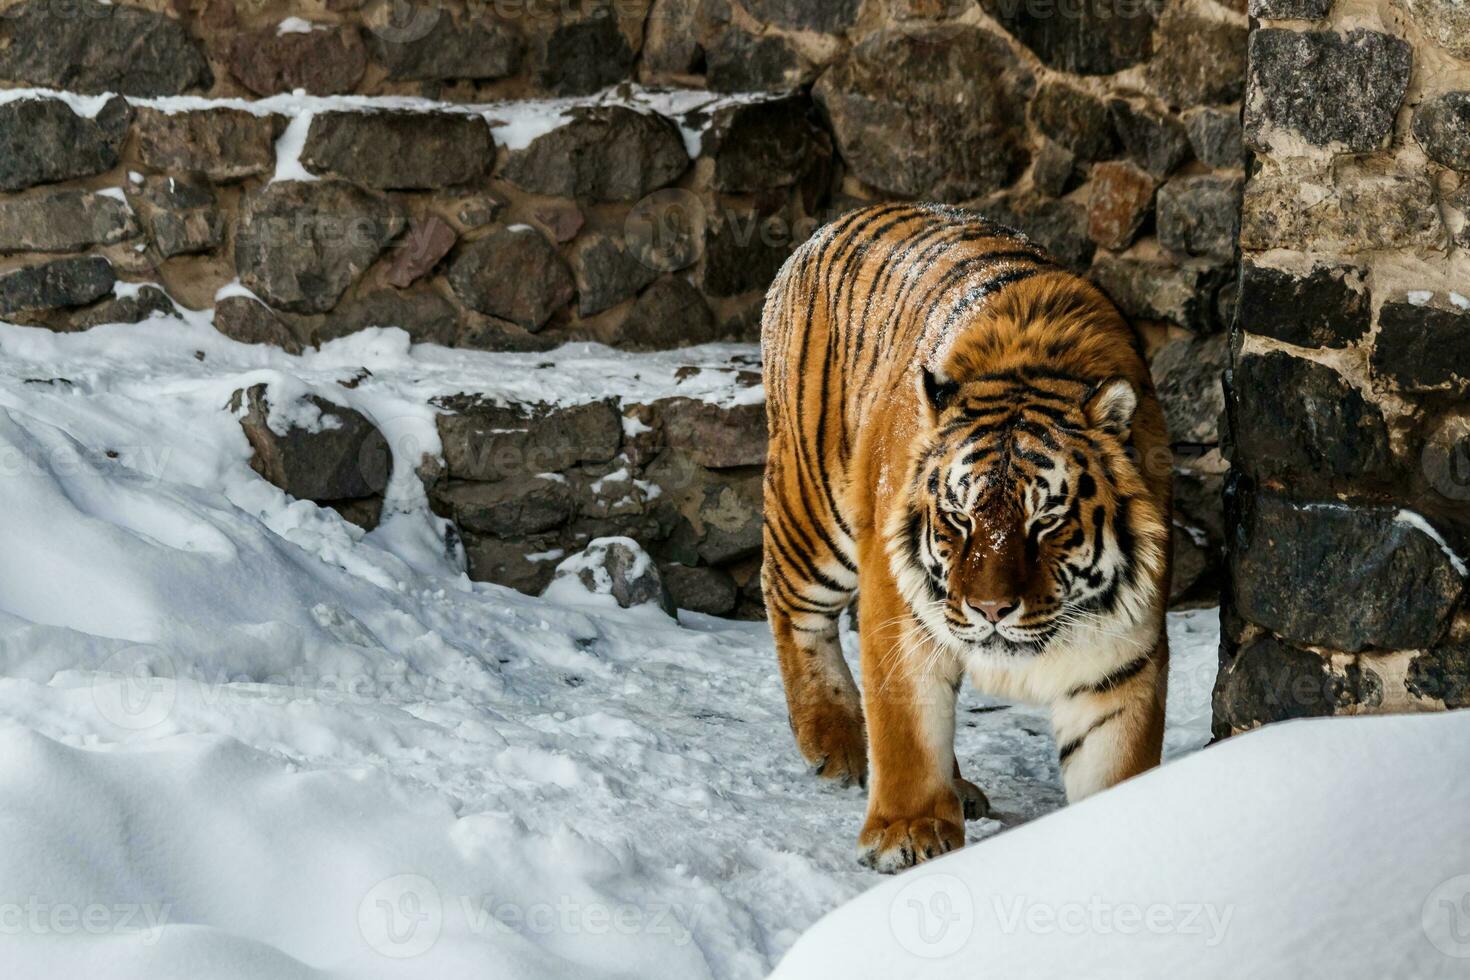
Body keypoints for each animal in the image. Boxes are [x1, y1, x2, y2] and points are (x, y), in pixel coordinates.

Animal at [758, 205, 1170, 875]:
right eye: (958, 518)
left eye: (1045, 521)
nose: (991, 609)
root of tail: (827, 225)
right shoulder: (901, 612)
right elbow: (905, 729)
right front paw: (907, 834)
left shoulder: (1120, 657)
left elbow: (1117, 765)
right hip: (813, 510)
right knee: (791, 605)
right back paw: (837, 743)